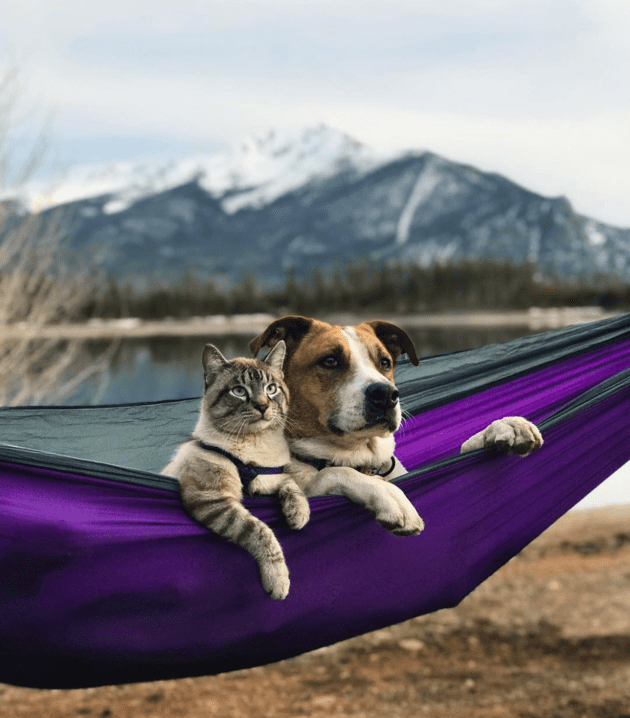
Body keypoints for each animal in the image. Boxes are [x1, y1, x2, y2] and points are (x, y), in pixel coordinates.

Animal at [163, 340, 312, 600]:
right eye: (239, 391)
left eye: (271, 388)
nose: (263, 406)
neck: (255, 445)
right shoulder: (214, 500)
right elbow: (262, 532)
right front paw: (279, 582)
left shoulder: (267, 479)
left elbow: (290, 483)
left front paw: (298, 515)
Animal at [249, 318, 544, 536]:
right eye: (330, 361)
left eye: (385, 362)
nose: (386, 394)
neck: (362, 457)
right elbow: (335, 473)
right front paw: (387, 494)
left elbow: (465, 445)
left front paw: (504, 426)